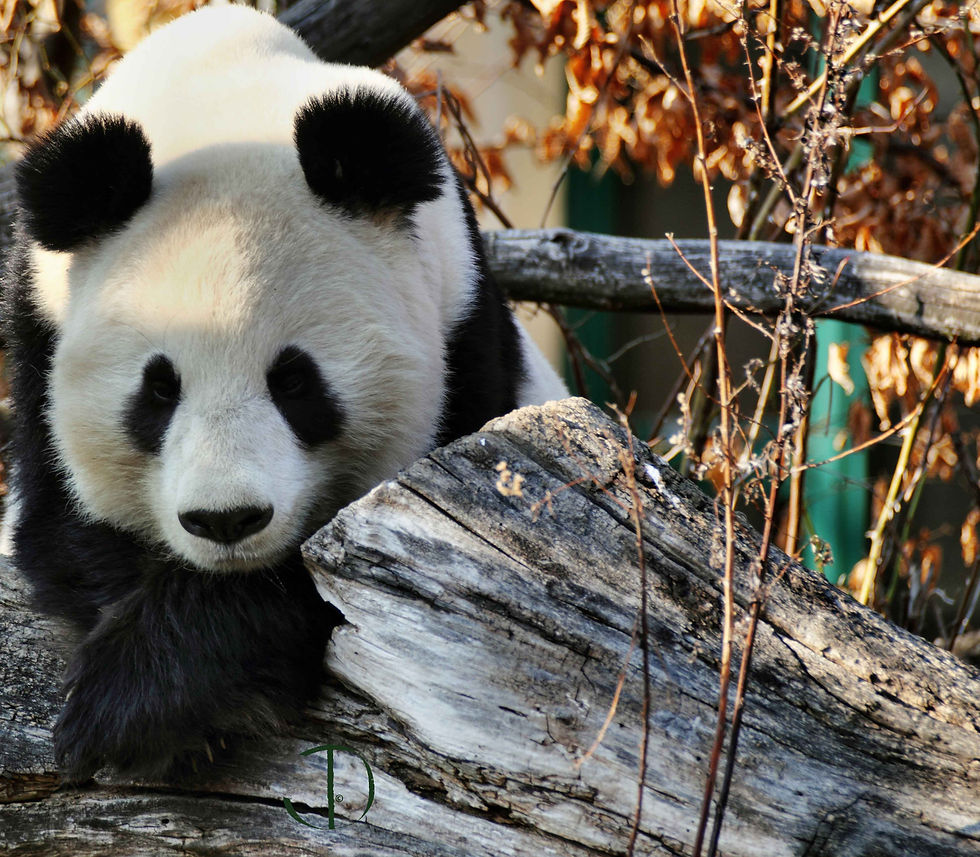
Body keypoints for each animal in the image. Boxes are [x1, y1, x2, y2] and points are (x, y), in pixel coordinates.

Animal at [2, 4, 567, 779]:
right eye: (158, 391)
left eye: (294, 380)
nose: (226, 521)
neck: (223, 95)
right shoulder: (39, 328)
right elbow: (69, 535)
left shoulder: (463, 335)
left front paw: (139, 703)